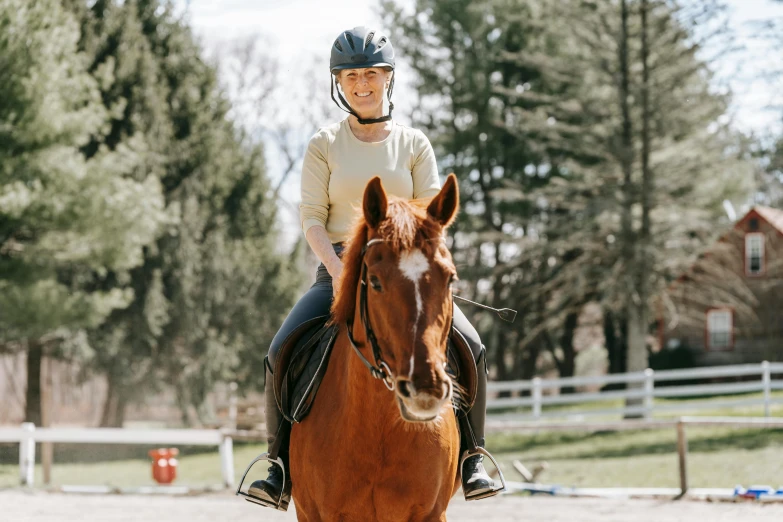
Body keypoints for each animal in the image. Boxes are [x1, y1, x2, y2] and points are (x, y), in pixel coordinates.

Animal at [290, 175, 462, 520]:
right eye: (375, 281)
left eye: (450, 278)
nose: (425, 389)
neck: (378, 425)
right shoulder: (314, 513)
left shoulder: (432, 513)